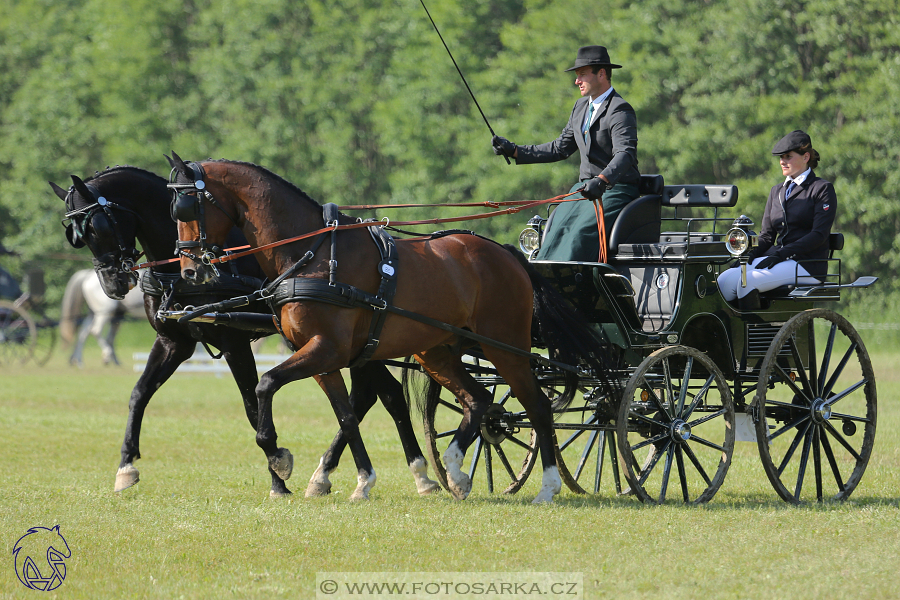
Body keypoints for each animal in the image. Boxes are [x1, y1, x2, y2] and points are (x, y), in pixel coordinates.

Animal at [51, 165, 438, 496]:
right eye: (75, 235)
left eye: (98, 227)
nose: (113, 283)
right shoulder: (173, 342)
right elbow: (139, 394)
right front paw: (126, 467)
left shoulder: (235, 343)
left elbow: (253, 405)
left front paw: (278, 475)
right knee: (376, 395)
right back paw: (338, 475)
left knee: (382, 396)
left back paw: (416, 474)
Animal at [171, 154, 616, 502]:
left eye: (187, 207)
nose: (191, 272)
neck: (311, 255)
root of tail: (508, 254)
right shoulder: (324, 358)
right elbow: (347, 416)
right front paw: (359, 481)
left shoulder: (326, 349)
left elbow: (266, 385)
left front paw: (279, 458)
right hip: (438, 351)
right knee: (477, 401)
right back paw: (455, 470)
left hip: (505, 347)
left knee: (537, 406)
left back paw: (547, 487)